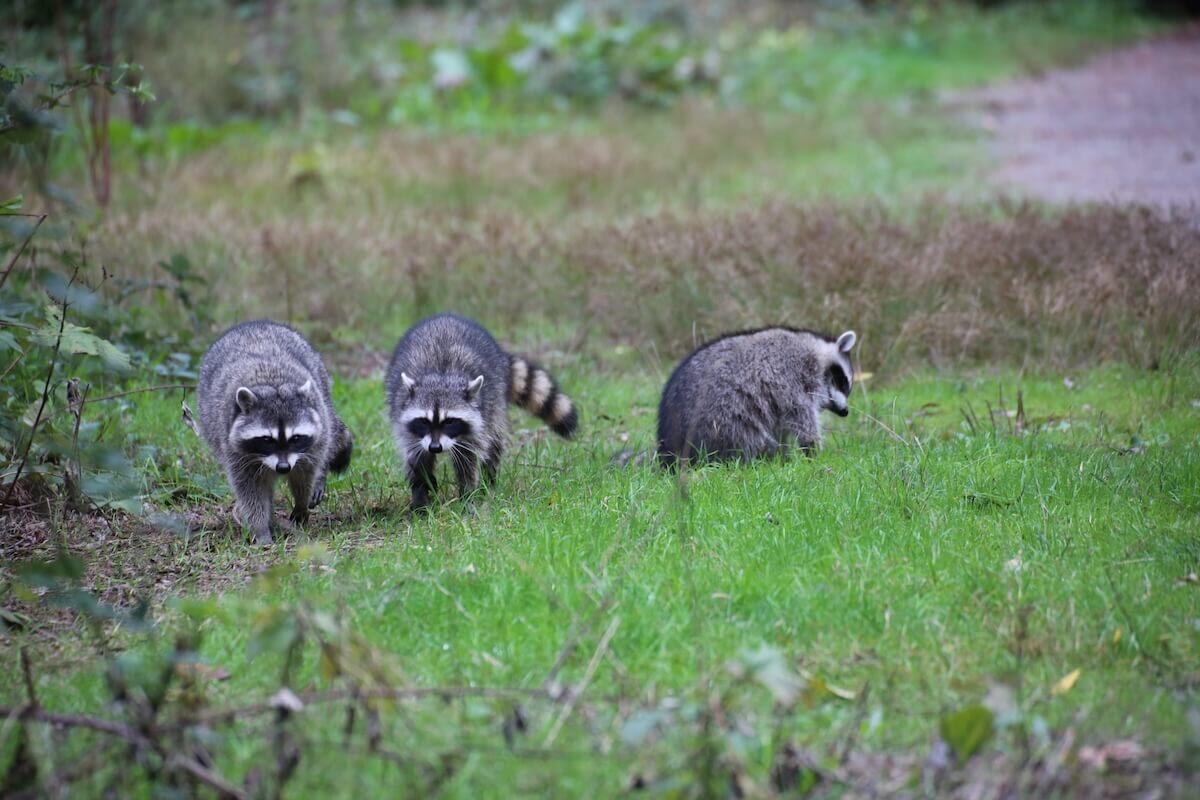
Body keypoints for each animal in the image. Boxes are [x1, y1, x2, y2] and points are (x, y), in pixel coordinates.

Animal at [196, 321, 350, 544]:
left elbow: (306, 472)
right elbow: (251, 490)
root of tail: (255, 324)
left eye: (296, 438)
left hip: (320, 384)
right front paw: (260, 528)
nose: (283, 467)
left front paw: (302, 500)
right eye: (267, 439)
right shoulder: (235, 450)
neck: (272, 384)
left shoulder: (314, 437)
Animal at [381, 311, 573, 513]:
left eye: (450, 421)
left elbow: (468, 462)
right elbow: (416, 460)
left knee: (494, 445)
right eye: (424, 421)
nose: (435, 448)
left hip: (496, 401)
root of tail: (447, 316)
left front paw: (467, 497)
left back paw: (489, 481)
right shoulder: (405, 421)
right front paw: (421, 497)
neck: (441, 375)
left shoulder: (481, 419)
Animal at [657, 326, 854, 470]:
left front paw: (788, 453)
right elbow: (801, 418)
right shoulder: (792, 375)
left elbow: (781, 427)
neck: (814, 350)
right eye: (843, 382)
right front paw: (812, 452)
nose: (845, 411)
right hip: (723, 417)